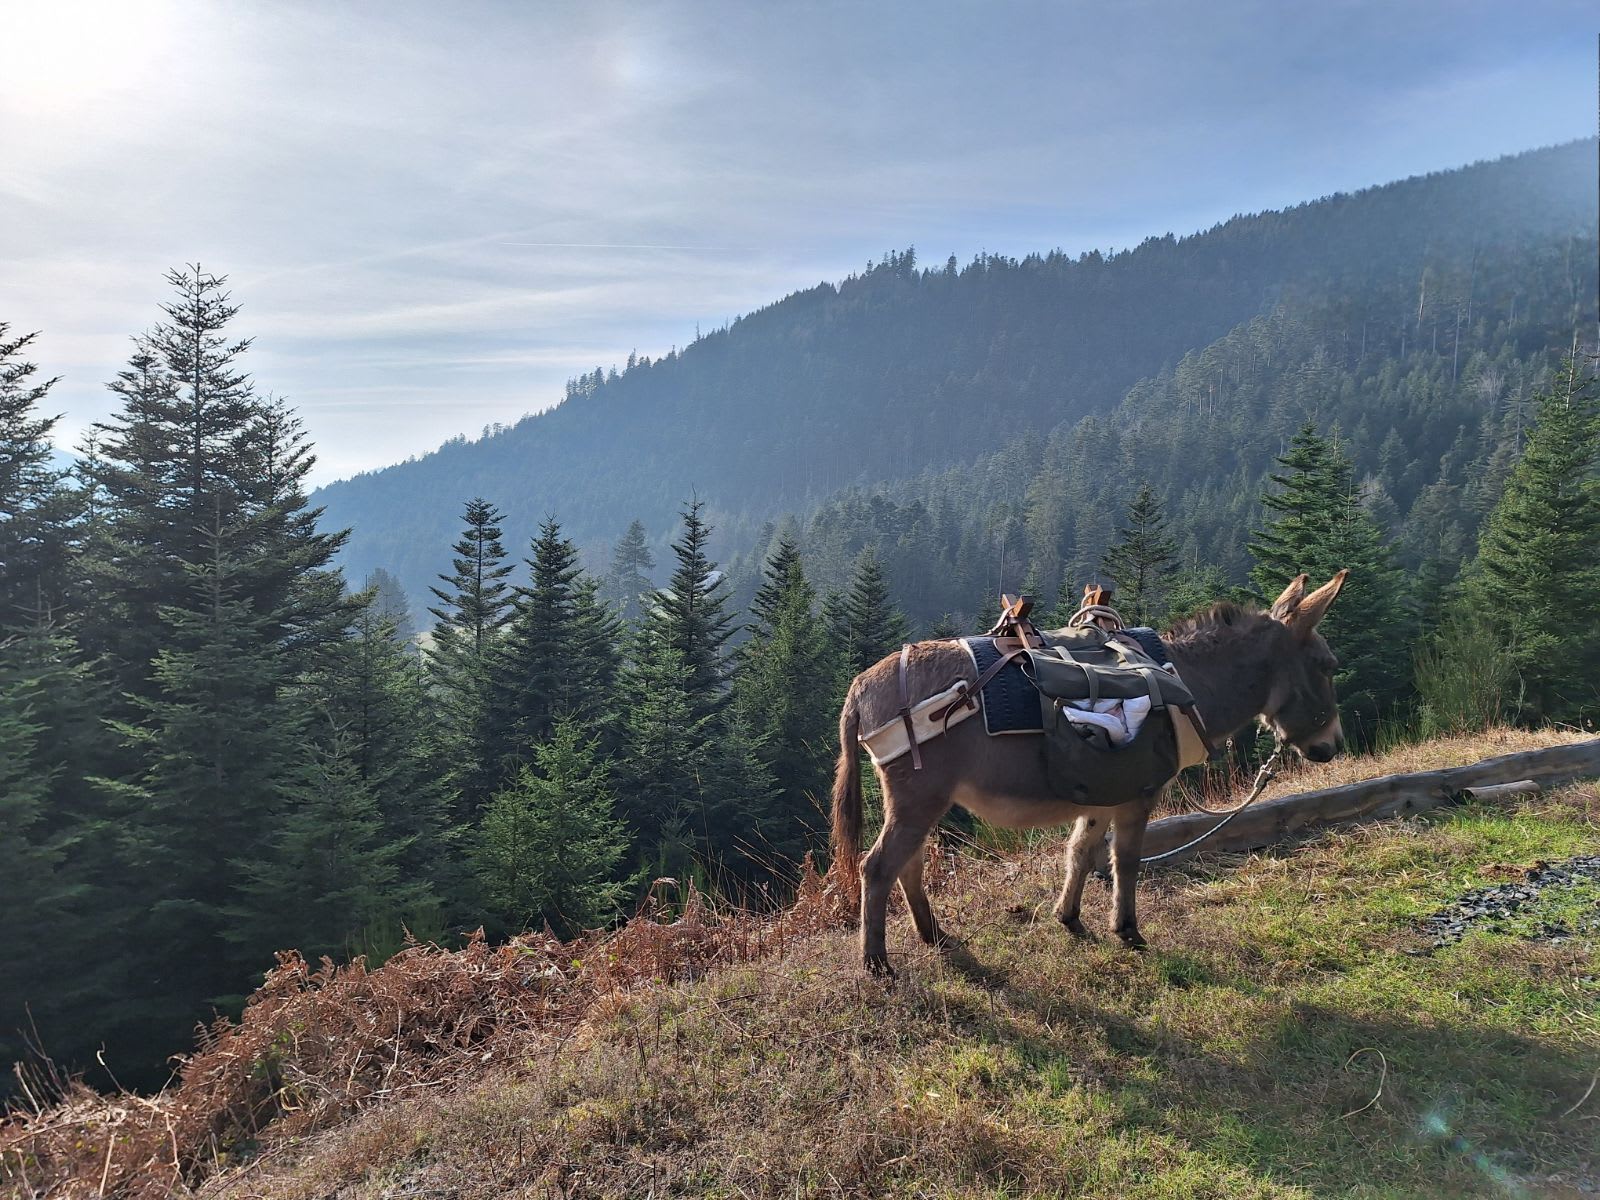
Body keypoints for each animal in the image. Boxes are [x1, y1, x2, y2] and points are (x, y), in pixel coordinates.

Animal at [830, 571, 1348, 976]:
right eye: (1327, 666)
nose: (1334, 746)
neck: (1183, 683)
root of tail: (860, 685)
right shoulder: (1139, 794)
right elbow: (1127, 861)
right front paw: (1129, 931)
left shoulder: (1101, 795)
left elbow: (1080, 851)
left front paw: (1070, 919)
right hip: (919, 798)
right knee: (878, 866)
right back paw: (876, 963)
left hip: (921, 801)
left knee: (908, 865)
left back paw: (933, 936)